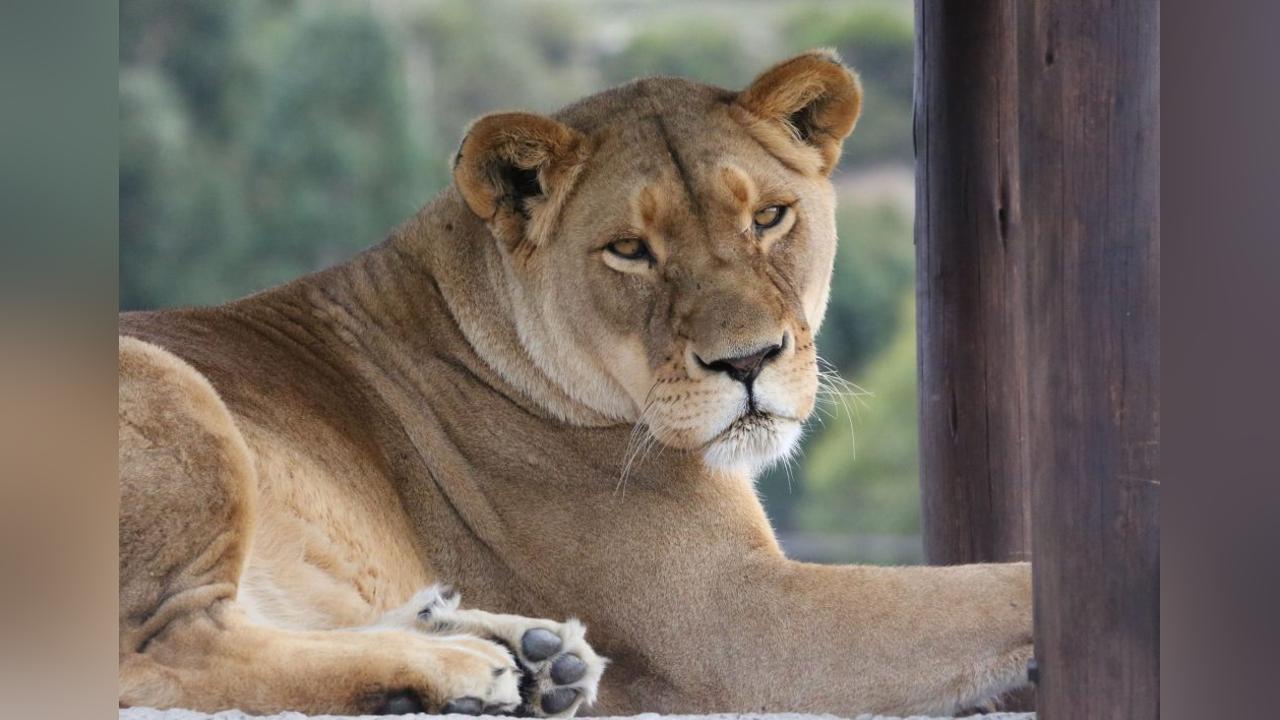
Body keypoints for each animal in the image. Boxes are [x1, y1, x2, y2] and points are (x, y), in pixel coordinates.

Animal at [118, 50, 1033, 717]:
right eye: (629, 250)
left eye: (770, 217)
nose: (747, 362)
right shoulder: (736, 622)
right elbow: (989, 589)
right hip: (170, 387)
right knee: (167, 652)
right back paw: (459, 671)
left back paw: (528, 658)